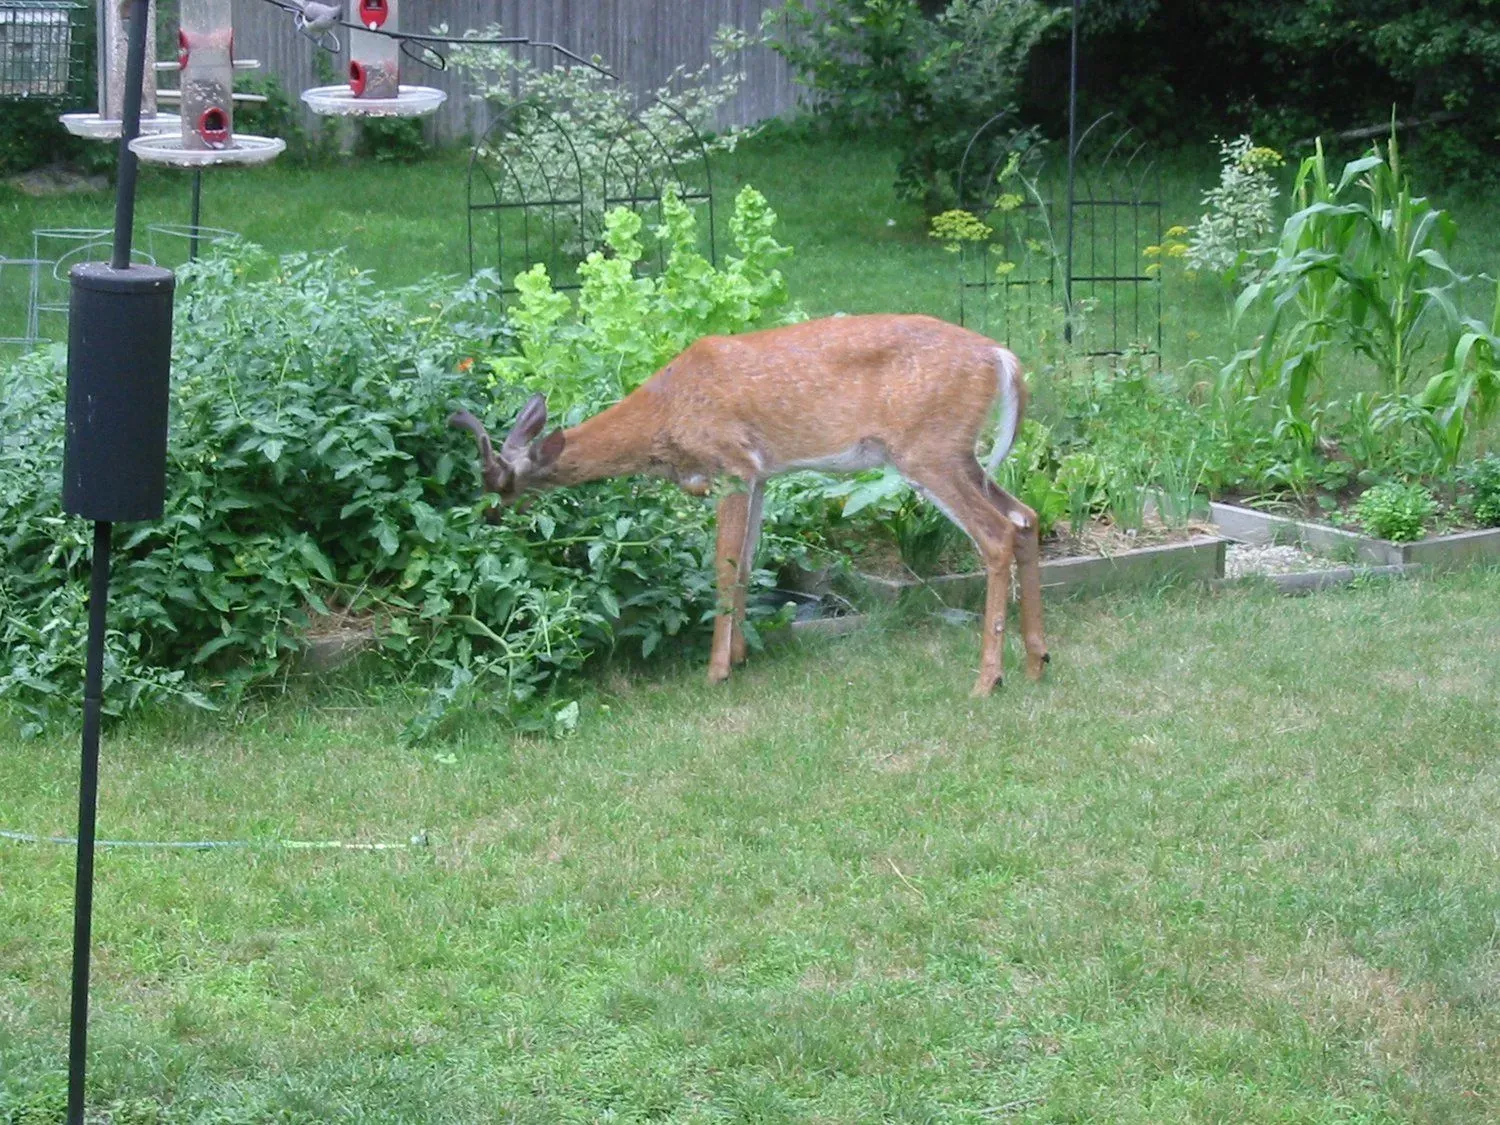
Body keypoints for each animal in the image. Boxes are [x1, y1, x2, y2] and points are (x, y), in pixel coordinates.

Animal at [448, 313, 1048, 697]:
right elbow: (748, 565)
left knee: (996, 533)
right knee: (1027, 517)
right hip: (957, 452)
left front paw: (715, 672)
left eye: (503, 485)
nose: (490, 516)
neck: (666, 413)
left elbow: (723, 566)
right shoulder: (761, 474)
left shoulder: (730, 465)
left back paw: (988, 680)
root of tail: (1001, 356)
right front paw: (739, 657)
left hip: (928, 449)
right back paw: (1037, 661)